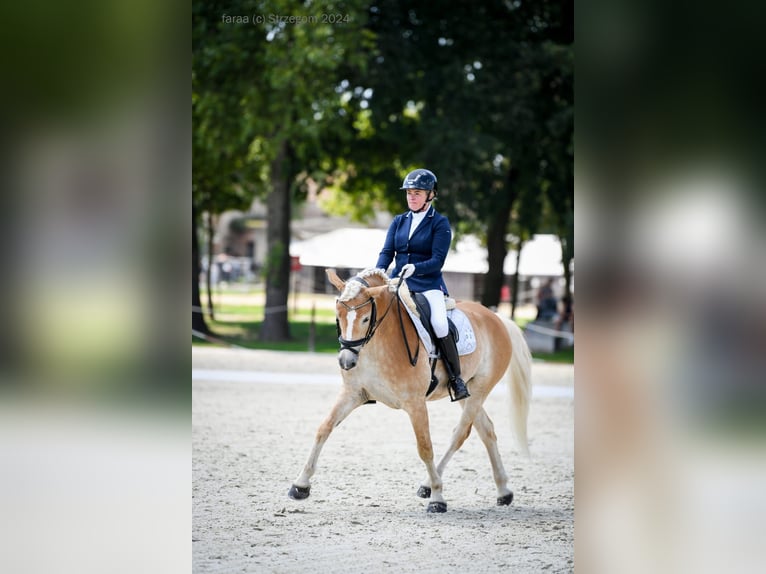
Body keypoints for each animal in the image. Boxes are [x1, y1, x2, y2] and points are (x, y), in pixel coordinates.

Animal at [288, 268, 536, 516]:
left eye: (366, 318)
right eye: (338, 316)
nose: (346, 361)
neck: (376, 343)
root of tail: (496, 318)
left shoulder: (415, 403)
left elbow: (425, 447)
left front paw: (438, 498)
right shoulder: (353, 394)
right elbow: (324, 429)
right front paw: (300, 485)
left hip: (480, 389)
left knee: (460, 433)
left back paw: (430, 485)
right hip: (468, 391)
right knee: (487, 431)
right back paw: (503, 491)